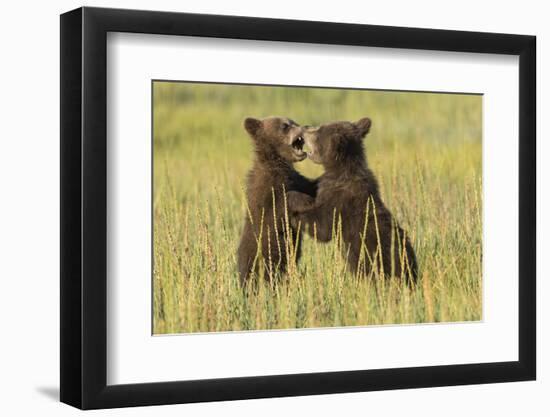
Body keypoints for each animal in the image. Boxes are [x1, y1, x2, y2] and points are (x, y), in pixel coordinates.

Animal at [238, 116, 320, 286]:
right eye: (285, 126)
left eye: (294, 122)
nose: (305, 126)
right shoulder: (263, 193)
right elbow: (274, 213)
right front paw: (307, 200)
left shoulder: (296, 179)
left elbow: (311, 185)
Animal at [288, 117, 418, 282]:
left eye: (318, 132)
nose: (305, 127)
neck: (342, 171)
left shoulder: (341, 201)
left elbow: (322, 227)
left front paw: (292, 202)